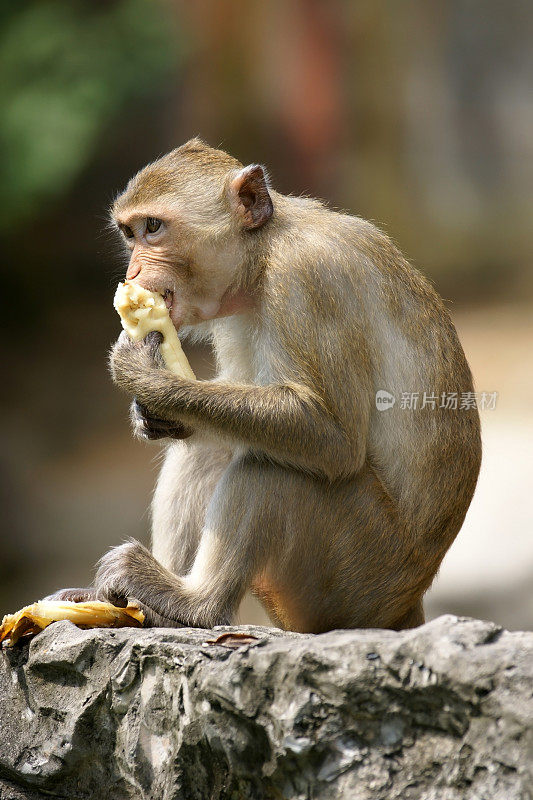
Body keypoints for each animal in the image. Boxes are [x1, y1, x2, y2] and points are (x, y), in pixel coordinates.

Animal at [51, 138, 482, 636]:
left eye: (153, 228)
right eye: (128, 233)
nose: (135, 272)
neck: (262, 256)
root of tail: (404, 604)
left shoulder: (307, 279)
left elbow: (329, 434)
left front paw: (147, 377)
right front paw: (155, 414)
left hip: (358, 570)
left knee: (273, 466)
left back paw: (194, 602)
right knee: (214, 449)